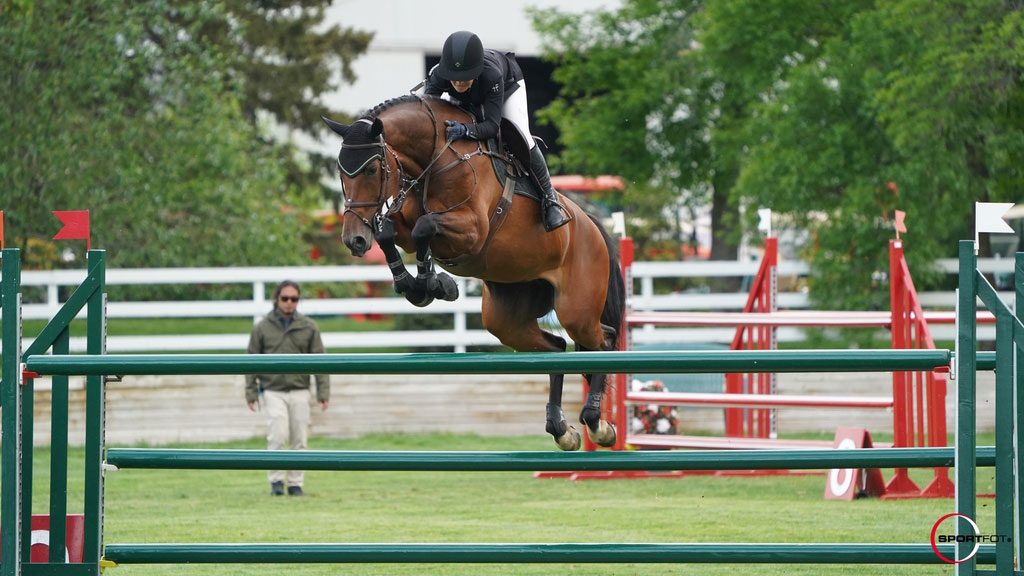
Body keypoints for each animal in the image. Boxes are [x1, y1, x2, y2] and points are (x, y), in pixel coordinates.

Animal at [321, 95, 622, 448]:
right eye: (341, 172)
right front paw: (421, 285)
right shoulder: (406, 226)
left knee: (604, 340)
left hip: (577, 309)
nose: (353, 240)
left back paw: (597, 424)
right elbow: (389, 233)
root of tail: (592, 225)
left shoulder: (472, 230)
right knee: (557, 348)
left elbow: (425, 227)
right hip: (507, 319)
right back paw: (562, 430)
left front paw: (433, 284)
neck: (437, 158)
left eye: (370, 169)